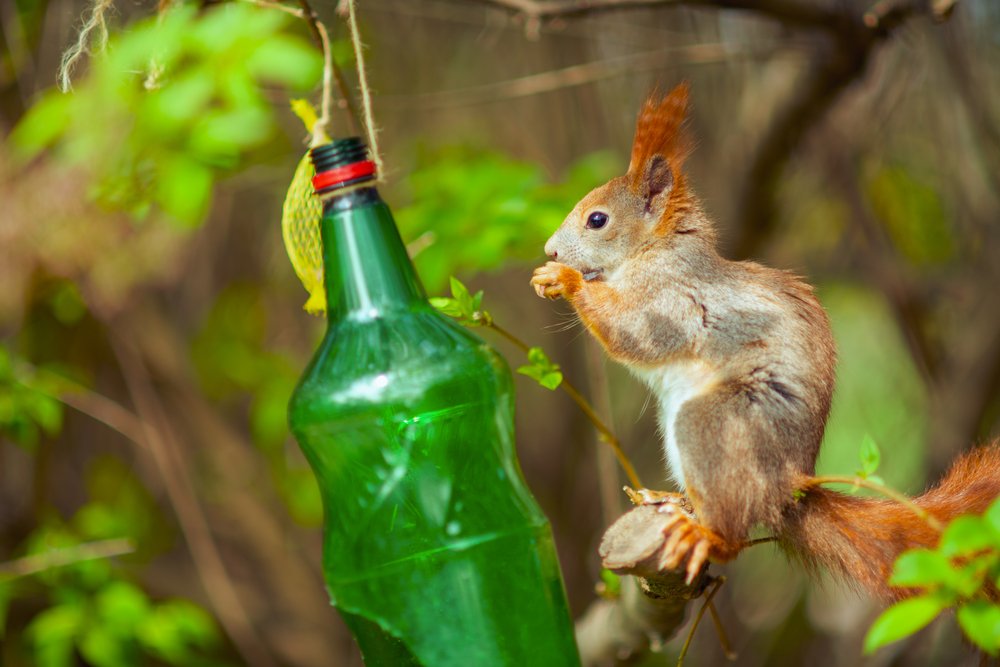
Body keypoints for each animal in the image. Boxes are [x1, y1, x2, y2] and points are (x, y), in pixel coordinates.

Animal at [530, 82, 1000, 600]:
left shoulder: (672, 300)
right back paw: (670, 500)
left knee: (734, 537)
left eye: (597, 220)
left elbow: (633, 334)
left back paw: (702, 534)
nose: (550, 249)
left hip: (715, 425)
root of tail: (787, 489)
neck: (657, 251)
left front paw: (565, 279)